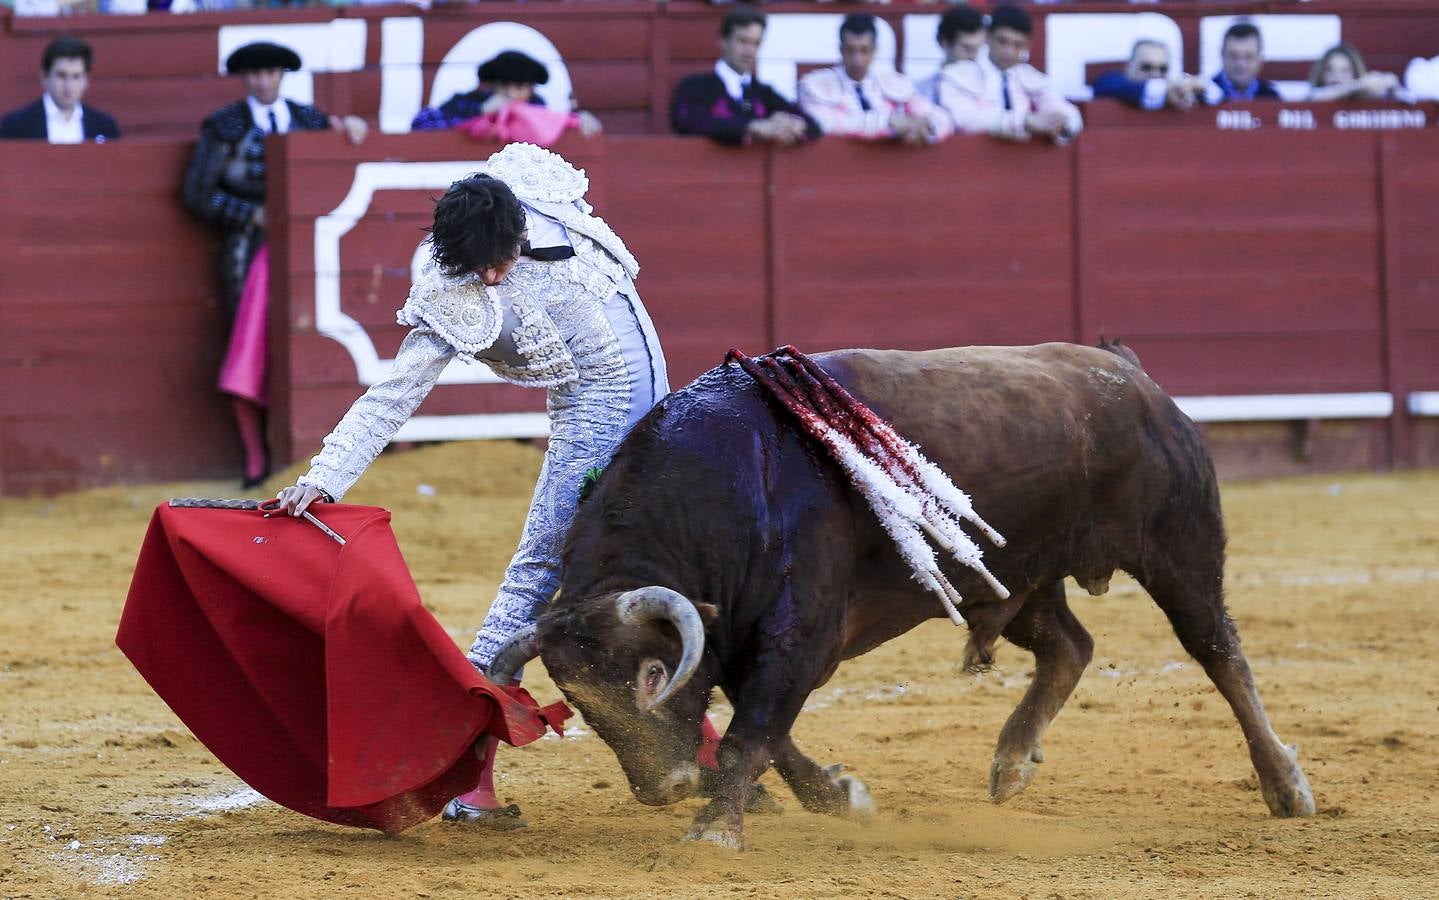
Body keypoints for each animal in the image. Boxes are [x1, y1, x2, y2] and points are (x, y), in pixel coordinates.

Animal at [492, 339, 1318, 846]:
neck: (722, 489)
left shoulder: (798, 636)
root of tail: (1131, 376)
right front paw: (836, 796)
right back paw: (1010, 763)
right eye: (579, 706)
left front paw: (715, 830)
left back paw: (1285, 787)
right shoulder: (738, 640)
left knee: (1219, 655)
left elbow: (748, 734)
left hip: (1181, 552)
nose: (662, 788)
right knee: (1069, 647)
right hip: (1010, 578)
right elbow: (767, 734)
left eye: (651, 675)